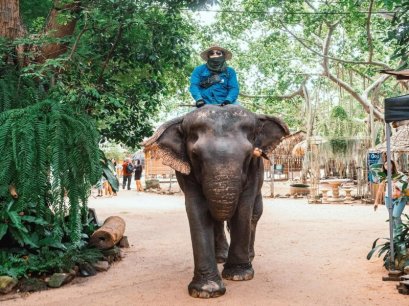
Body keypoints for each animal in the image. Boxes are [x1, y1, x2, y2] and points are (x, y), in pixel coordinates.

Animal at [142, 105, 288, 298]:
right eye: (195, 155)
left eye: (249, 154)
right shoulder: (186, 173)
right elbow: (197, 208)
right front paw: (206, 290)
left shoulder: (255, 168)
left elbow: (244, 208)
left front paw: (239, 275)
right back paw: (221, 258)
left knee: (254, 214)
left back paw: (248, 257)